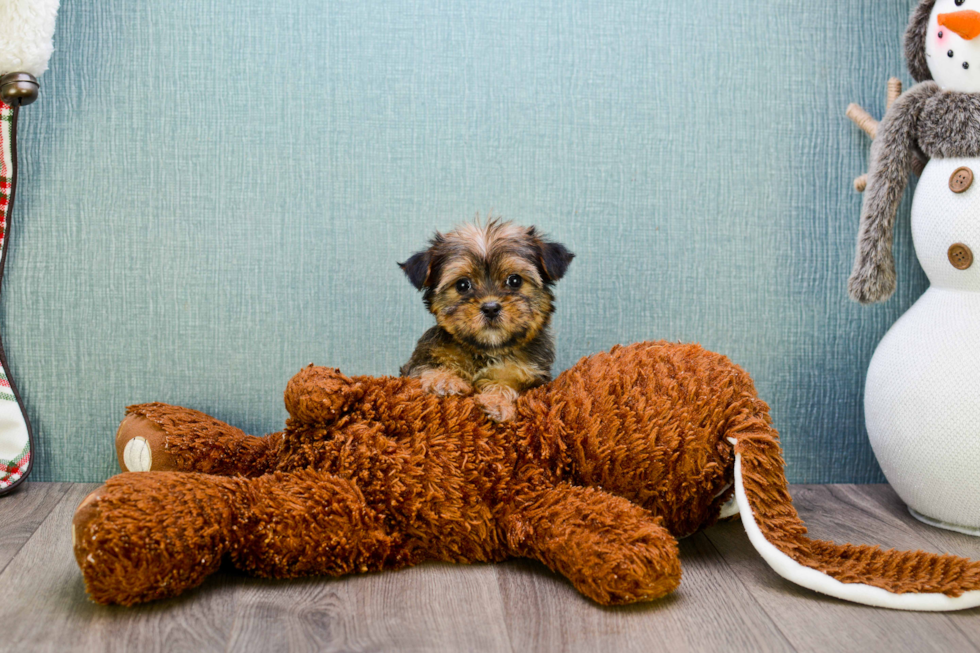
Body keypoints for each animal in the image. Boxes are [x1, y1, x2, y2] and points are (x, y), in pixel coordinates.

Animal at [400, 219, 576, 422]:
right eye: (462, 285)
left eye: (515, 280)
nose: (490, 308)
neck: (487, 350)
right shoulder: (420, 360)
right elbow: (425, 367)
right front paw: (444, 379)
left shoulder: (530, 376)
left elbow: (508, 384)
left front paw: (497, 402)